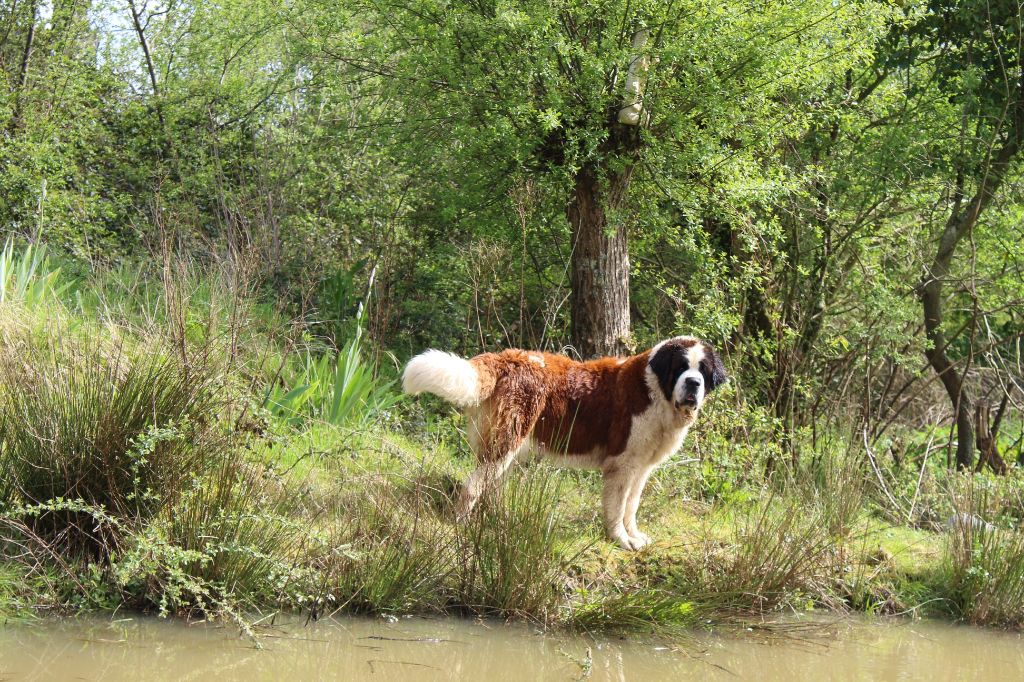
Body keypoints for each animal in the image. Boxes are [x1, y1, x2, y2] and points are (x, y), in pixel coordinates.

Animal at [401, 333, 729, 548]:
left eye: (703, 370)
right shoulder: (622, 465)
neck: (656, 392)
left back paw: (498, 522)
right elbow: (617, 506)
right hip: (506, 441)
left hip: (509, 447)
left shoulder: (641, 467)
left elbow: (631, 505)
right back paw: (461, 525)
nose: (693, 383)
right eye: (681, 367)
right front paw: (620, 540)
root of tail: (505, 357)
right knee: (473, 486)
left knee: (491, 486)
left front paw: (634, 536)